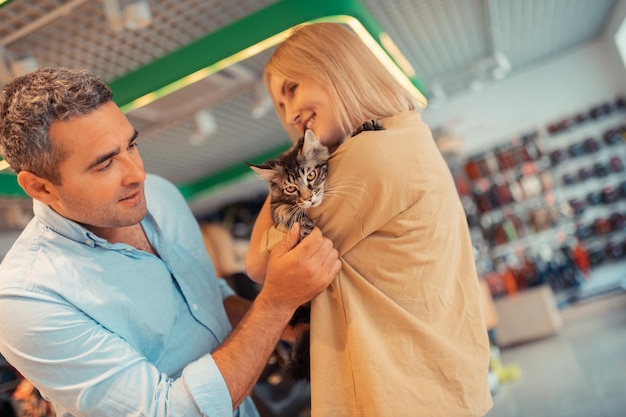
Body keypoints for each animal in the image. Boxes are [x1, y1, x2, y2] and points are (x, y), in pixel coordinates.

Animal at [246, 120, 382, 380]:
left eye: (311, 174)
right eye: (291, 188)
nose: (309, 198)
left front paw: (364, 128)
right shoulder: (275, 204)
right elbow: (286, 211)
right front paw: (304, 223)